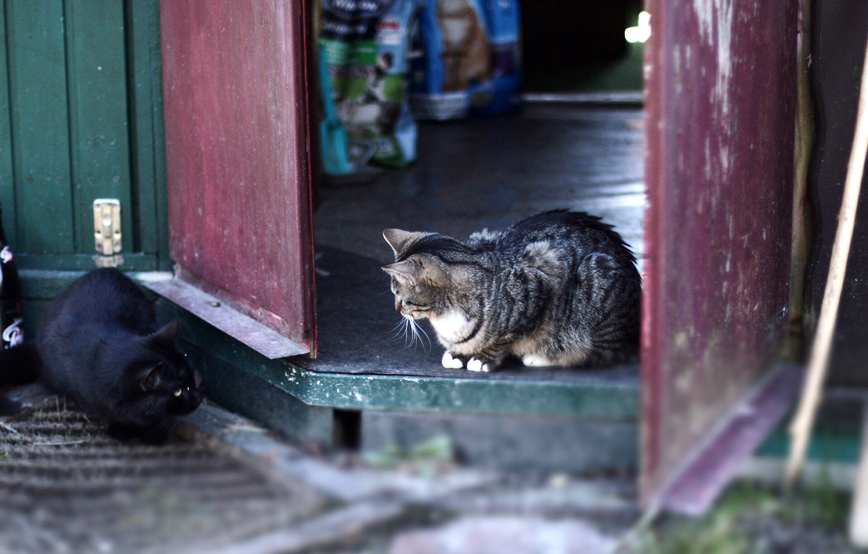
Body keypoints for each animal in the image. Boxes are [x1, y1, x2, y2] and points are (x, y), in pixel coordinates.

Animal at [384, 209, 640, 368]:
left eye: (399, 296)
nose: (396, 309)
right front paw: (458, 354)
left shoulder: (538, 287)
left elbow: (504, 338)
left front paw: (484, 358)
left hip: (596, 276)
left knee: (601, 354)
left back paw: (543, 358)